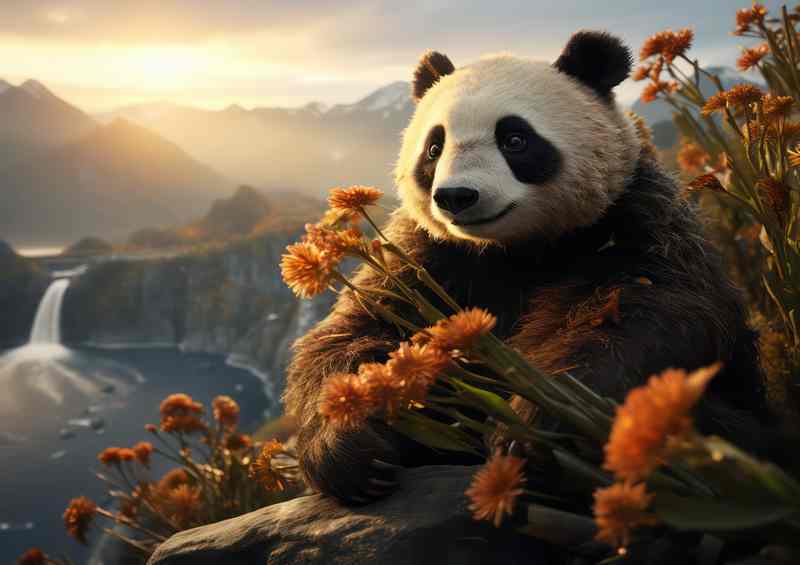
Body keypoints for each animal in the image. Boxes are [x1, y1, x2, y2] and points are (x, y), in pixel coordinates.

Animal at [284, 31, 767, 505]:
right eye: (434, 148)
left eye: (515, 139)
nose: (457, 196)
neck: (514, 249)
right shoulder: (424, 256)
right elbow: (351, 334)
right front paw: (353, 447)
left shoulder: (637, 218)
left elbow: (642, 312)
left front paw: (533, 429)